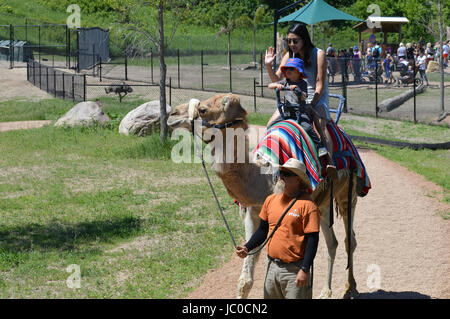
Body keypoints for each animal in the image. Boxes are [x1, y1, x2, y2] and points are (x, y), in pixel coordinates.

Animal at [178, 93, 362, 300]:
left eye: (203, 109)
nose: (173, 113)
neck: (264, 178)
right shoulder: (253, 212)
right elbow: (246, 278)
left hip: (349, 193)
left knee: (349, 239)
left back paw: (350, 288)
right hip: (322, 204)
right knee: (332, 242)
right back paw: (325, 291)